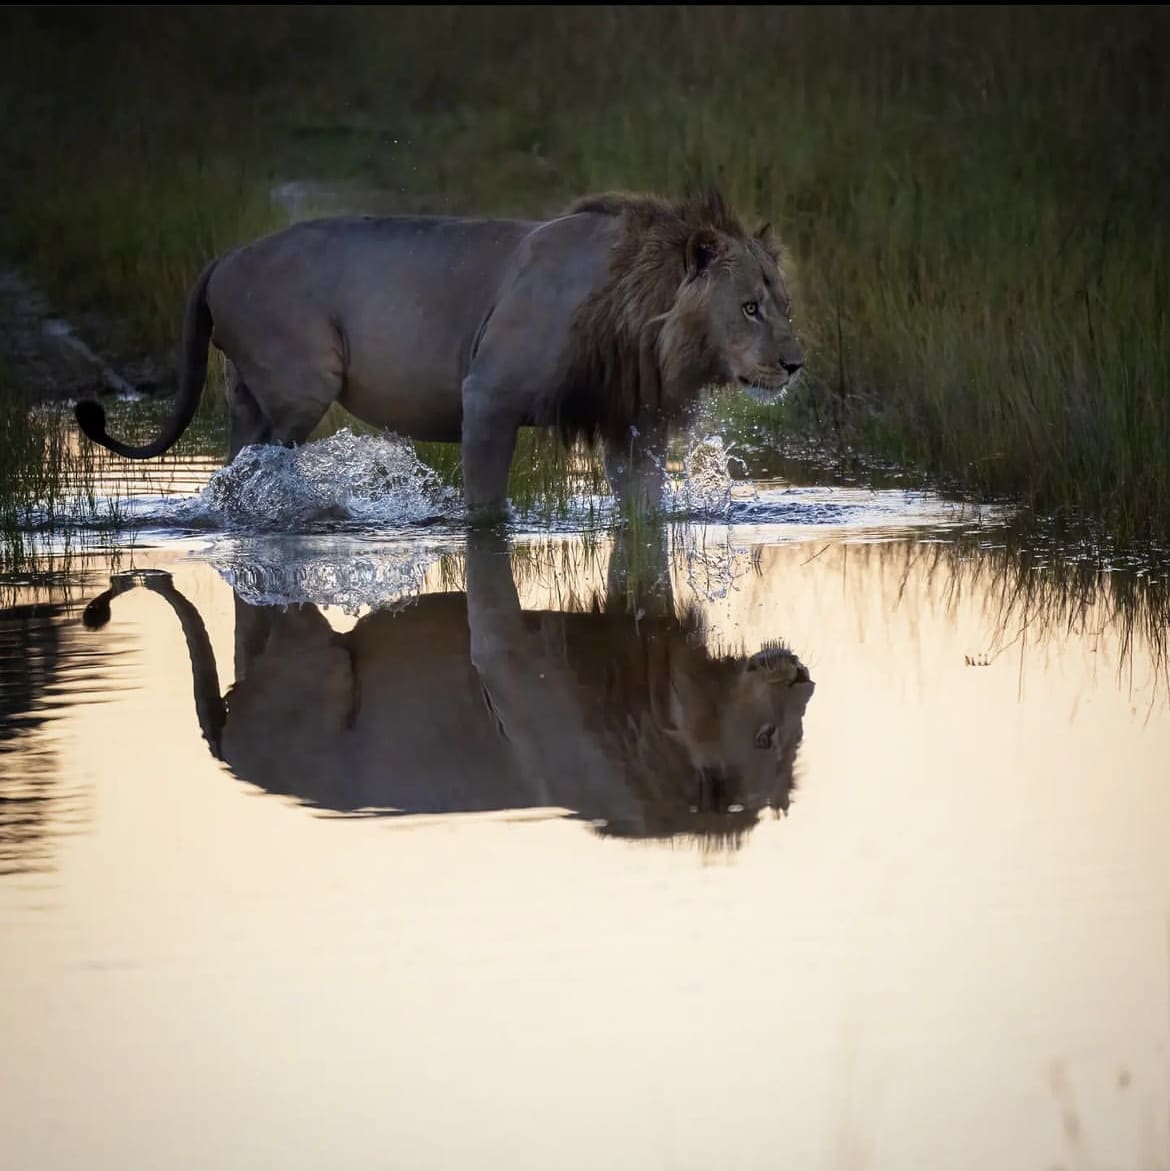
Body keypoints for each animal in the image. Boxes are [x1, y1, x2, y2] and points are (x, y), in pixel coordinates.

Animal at [73, 188, 805, 517]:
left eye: (783, 303)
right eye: (749, 307)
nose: (794, 363)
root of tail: (223, 258)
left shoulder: (634, 418)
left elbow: (644, 521)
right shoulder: (487, 395)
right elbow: (485, 507)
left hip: (246, 396)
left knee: (236, 470)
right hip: (300, 387)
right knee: (261, 469)